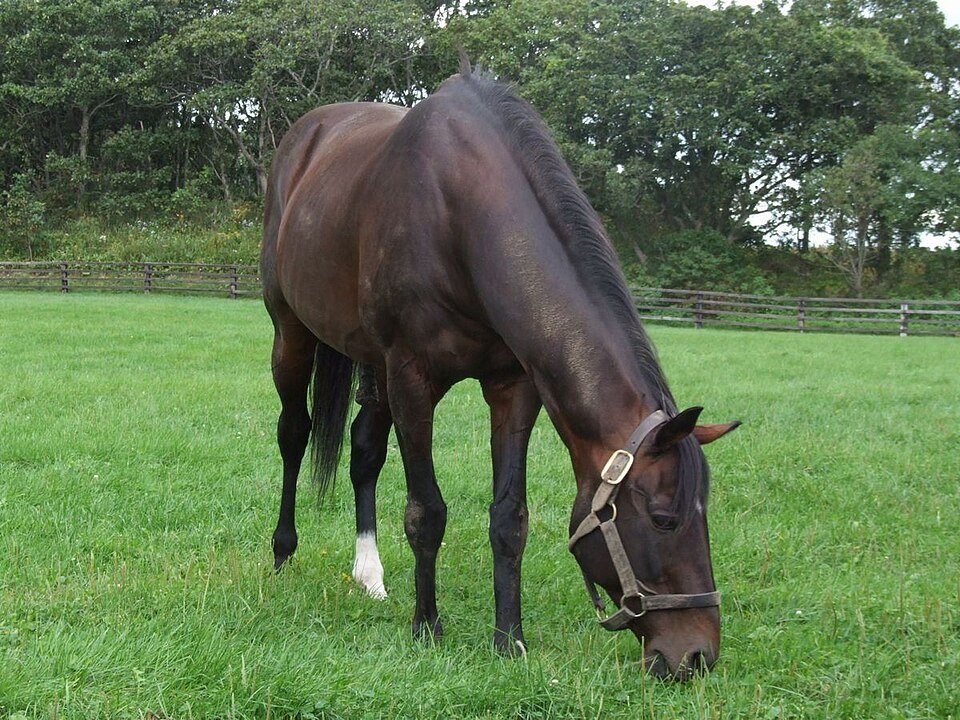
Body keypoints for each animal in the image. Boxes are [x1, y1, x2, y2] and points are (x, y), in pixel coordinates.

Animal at [260, 56, 739, 680]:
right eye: (662, 519)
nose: (697, 656)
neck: (459, 215)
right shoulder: (413, 380)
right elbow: (427, 512)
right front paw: (427, 627)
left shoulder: (513, 387)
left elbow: (510, 517)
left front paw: (509, 637)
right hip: (292, 334)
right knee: (295, 434)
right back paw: (282, 554)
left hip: (373, 366)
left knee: (364, 452)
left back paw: (370, 574)